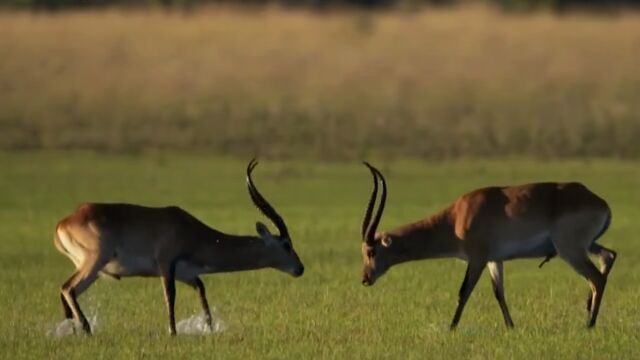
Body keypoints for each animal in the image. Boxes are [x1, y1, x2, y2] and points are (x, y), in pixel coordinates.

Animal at [55, 159, 304, 336]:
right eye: (286, 244)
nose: (300, 269)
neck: (192, 232)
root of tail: (63, 222)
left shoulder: (187, 273)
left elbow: (202, 291)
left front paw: (209, 329)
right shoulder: (166, 265)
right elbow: (170, 296)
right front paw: (173, 332)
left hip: (95, 270)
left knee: (66, 292)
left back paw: (72, 331)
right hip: (94, 262)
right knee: (68, 288)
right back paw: (86, 329)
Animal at [360, 163, 616, 330]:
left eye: (372, 251)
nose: (365, 278)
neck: (456, 218)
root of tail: (600, 202)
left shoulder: (478, 258)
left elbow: (463, 291)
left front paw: (451, 328)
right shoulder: (495, 259)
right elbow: (498, 292)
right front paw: (510, 327)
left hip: (570, 250)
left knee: (597, 278)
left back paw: (589, 324)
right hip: (586, 246)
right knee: (609, 256)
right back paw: (588, 308)